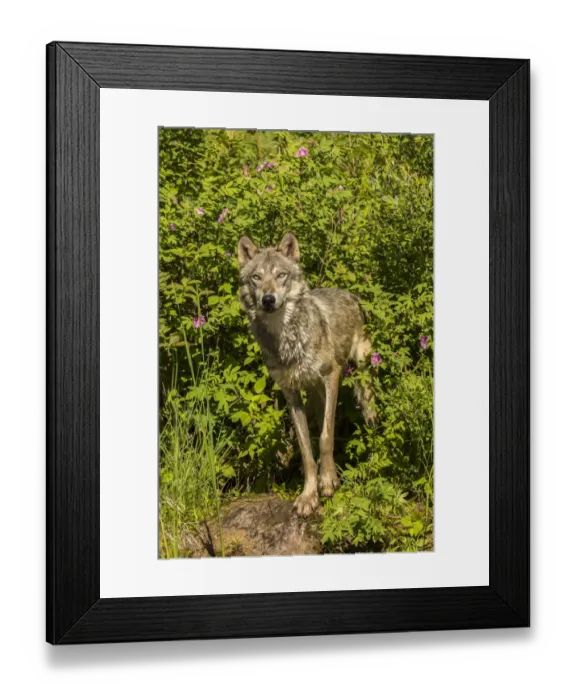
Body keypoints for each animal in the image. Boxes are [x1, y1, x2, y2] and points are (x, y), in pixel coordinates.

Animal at [238, 232, 377, 517]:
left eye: (281, 275)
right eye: (256, 277)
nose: (268, 299)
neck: (286, 340)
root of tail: (351, 294)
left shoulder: (331, 376)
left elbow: (325, 437)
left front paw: (328, 481)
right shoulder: (291, 394)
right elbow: (305, 449)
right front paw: (309, 495)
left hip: (361, 380)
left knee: (368, 416)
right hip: (315, 396)